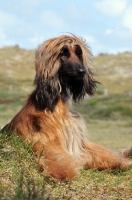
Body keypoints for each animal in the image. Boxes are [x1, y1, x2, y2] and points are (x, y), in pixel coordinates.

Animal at [1, 33, 131, 180]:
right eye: (63, 54)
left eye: (79, 53)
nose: (82, 71)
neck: (56, 103)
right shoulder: (45, 143)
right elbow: (57, 158)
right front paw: (63, 172)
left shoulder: (79, 143)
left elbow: (103, 153)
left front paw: (121, 161)